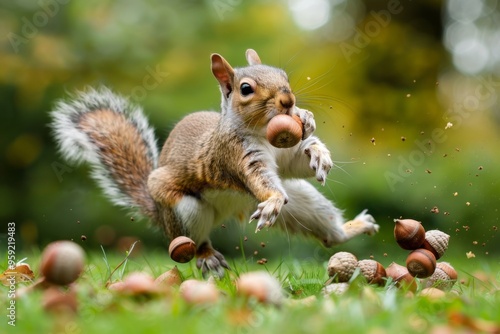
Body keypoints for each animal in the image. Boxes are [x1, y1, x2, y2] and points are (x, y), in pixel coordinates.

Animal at [50, 49, 378, 276]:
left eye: (283, 75)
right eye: (246, 89)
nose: (289, 101)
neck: (262, 133)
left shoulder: (285, 159)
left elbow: (295, 162)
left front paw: (316, 147)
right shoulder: (234, 156)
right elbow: (260, 178)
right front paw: (273, 198)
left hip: (301, 202)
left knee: (329, 236)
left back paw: (354, 227)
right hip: (186, 211)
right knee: (189, 245)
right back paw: (207, 257)